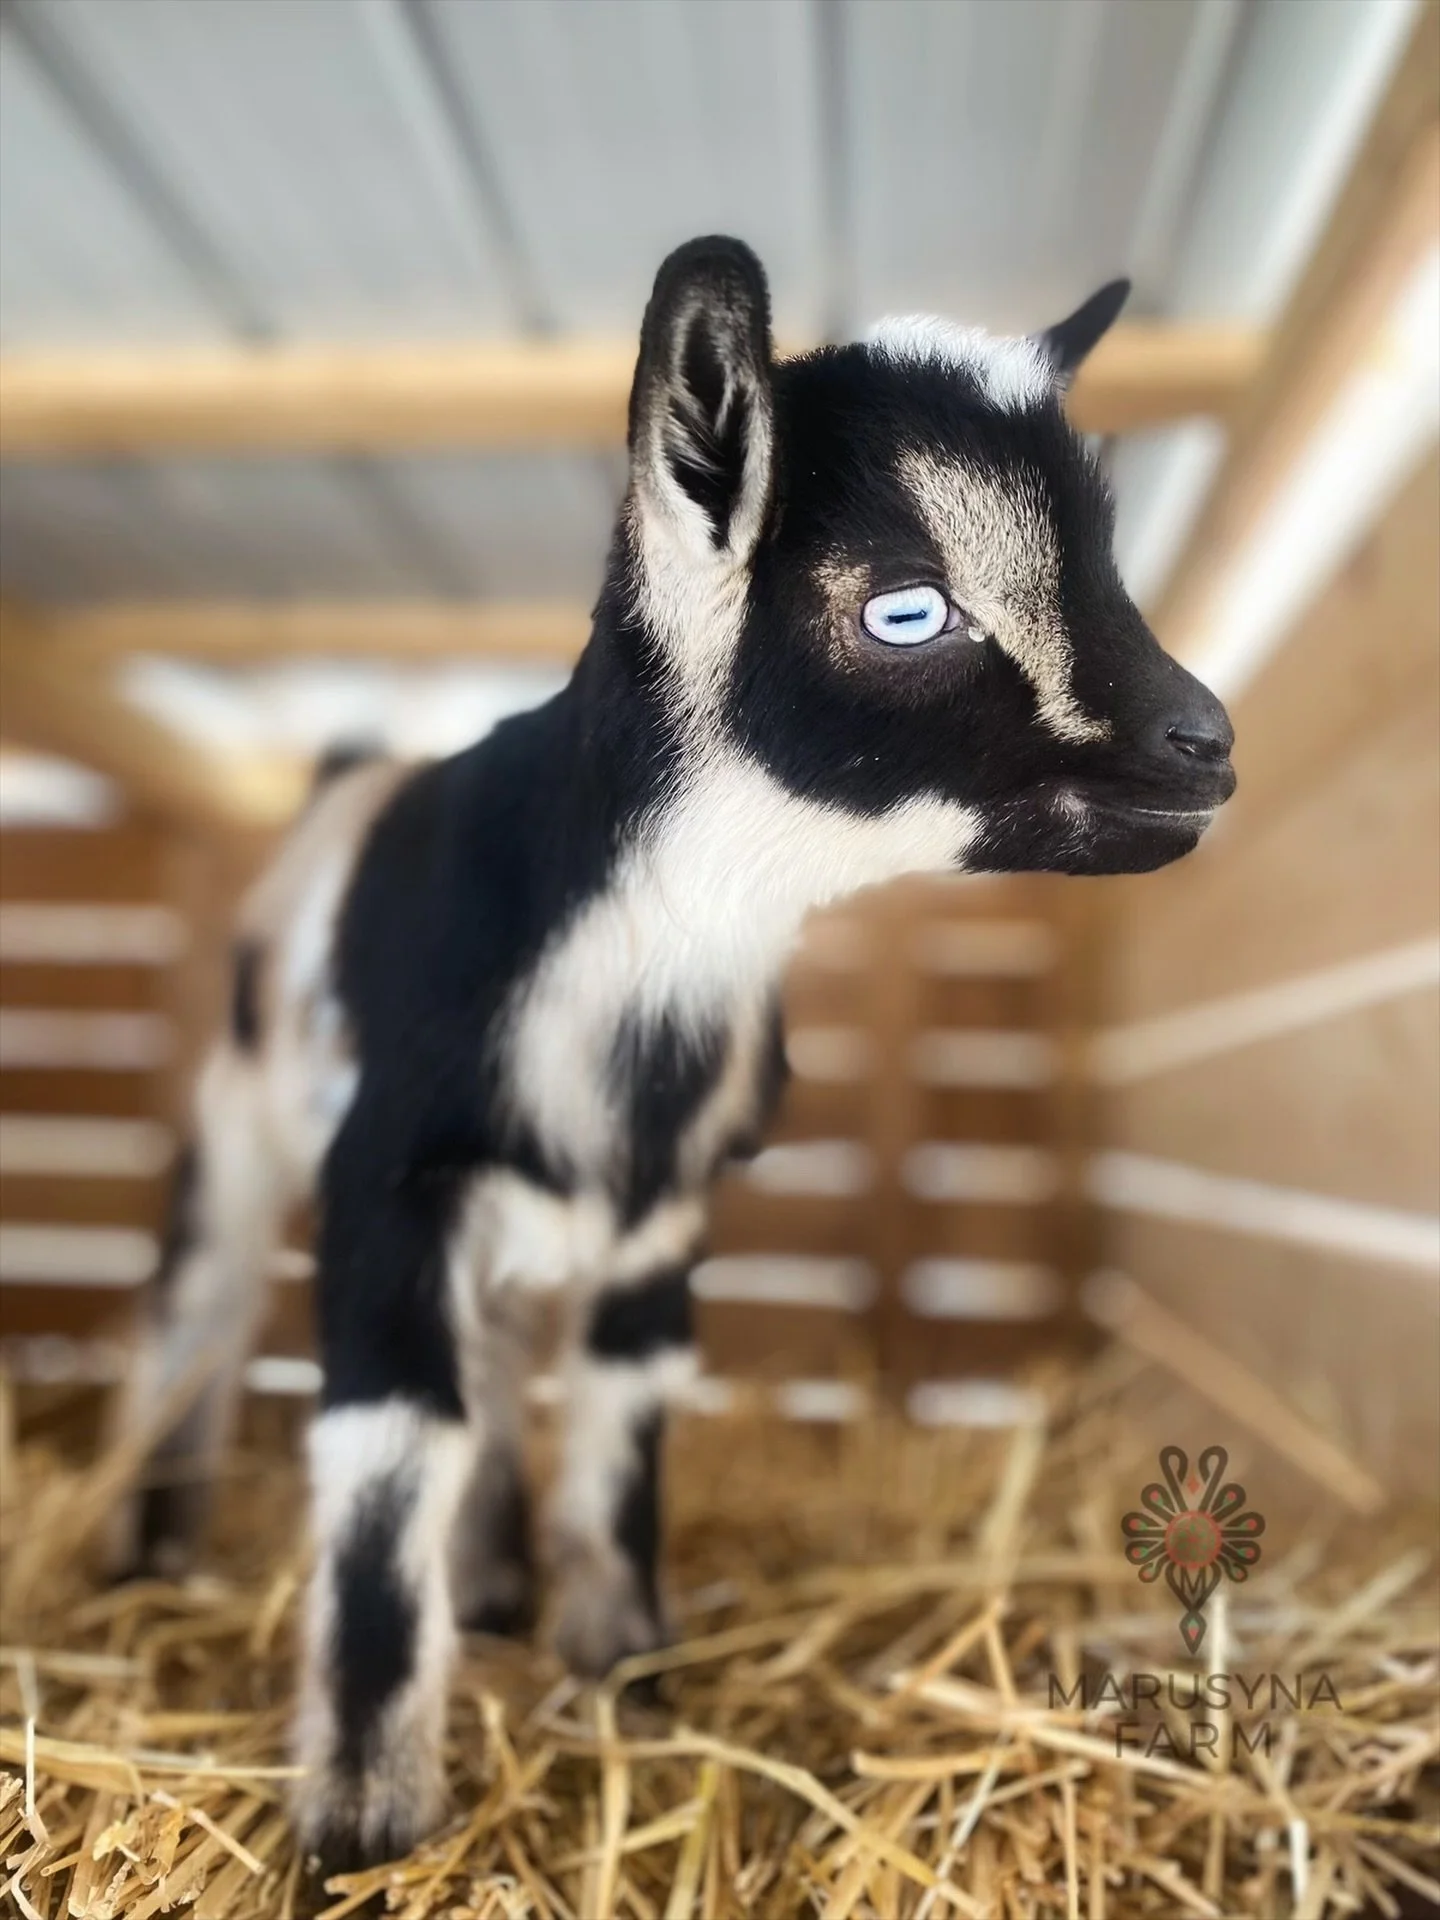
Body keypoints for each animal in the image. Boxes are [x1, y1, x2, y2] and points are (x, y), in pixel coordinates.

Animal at [106, 236, 1235, 1868]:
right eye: (908, 610)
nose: (1207, 741)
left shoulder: (658, 1219)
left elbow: (621, 1437)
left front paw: (625, 1671)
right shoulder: (392, 1183)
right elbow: (387, 1454)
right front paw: (365, 1820)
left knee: (500, 1378)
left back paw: (493, 1587)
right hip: (245, 1124)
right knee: (193, 1311)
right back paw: (143, 1562)